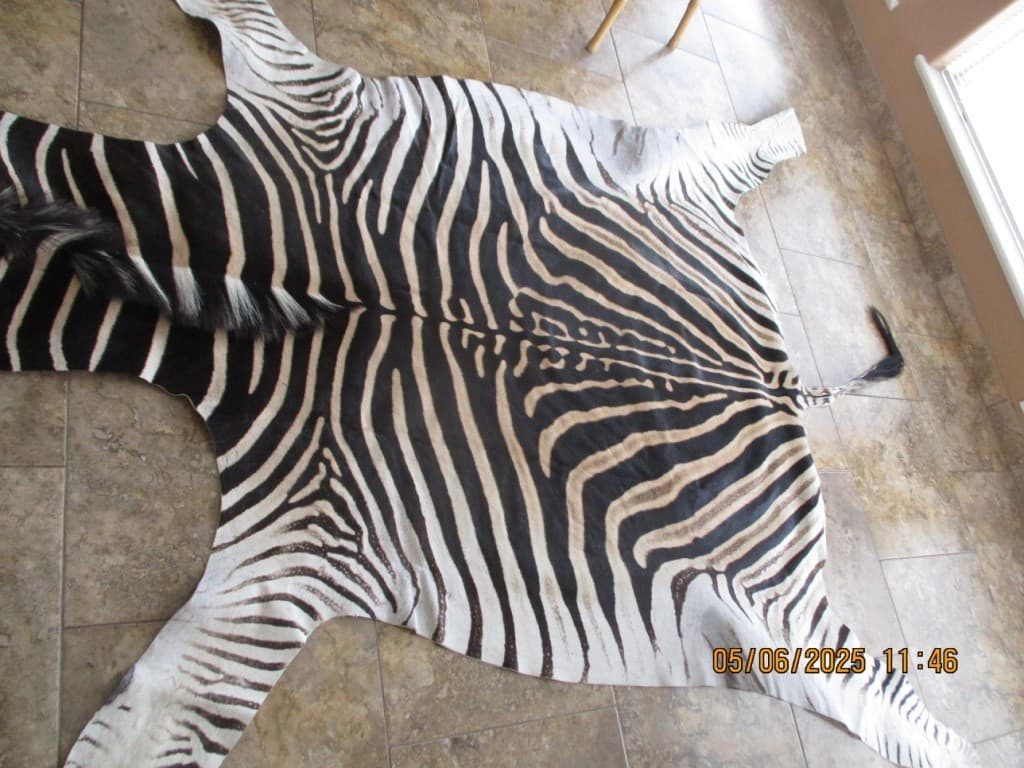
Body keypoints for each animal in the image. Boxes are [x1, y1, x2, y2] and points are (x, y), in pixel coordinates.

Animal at [0, 1, 979, 766]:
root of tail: (781, 385)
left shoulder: (300, 529)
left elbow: (165, 708)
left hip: (776, 611)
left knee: (875, 700)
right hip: (668, 189)